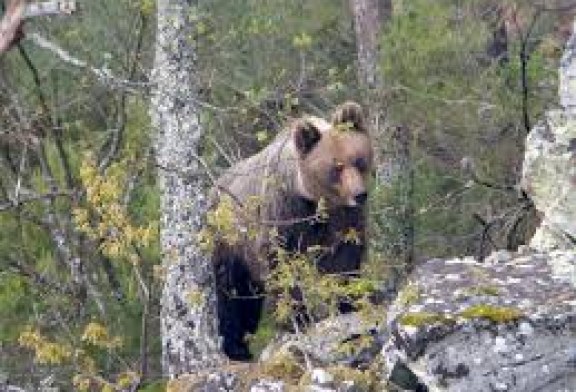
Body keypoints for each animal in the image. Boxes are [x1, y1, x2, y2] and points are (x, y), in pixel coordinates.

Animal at [209, 100, 372, 358]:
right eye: (336, 167)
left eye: (358, 160)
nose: (359, 194)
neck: (316, 202)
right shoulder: (283, 213)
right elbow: (281, 263)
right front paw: (298, 318)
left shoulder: (344, 219)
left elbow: (345, 257)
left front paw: (348, 305)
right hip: (229, 237)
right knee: (230, 290)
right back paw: (235, 348)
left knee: (249, 295)